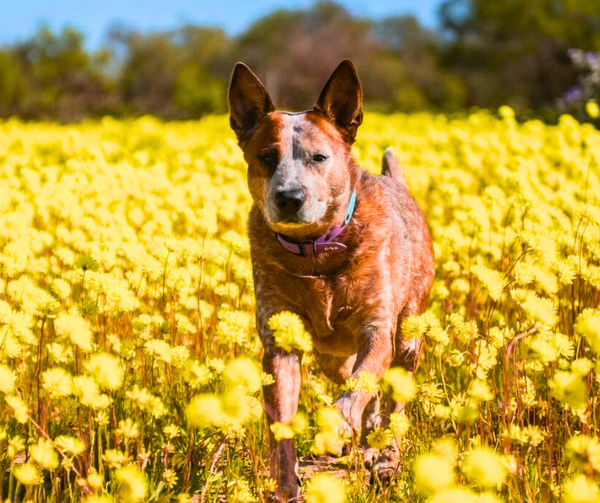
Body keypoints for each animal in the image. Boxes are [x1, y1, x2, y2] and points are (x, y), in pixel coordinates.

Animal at [227, 61, 434, 502]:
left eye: (319, 157)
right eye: (266, 157)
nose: (289, 197)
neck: (316, 253)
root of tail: (398, 182)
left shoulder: (377, 329)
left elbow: (358, 388)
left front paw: (334, 431)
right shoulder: (280, 342)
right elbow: (283, 425)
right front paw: (287, 485)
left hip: (407, 337)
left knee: (393, 398)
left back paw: (385, 457)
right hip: (331, 356)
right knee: (365, 390)